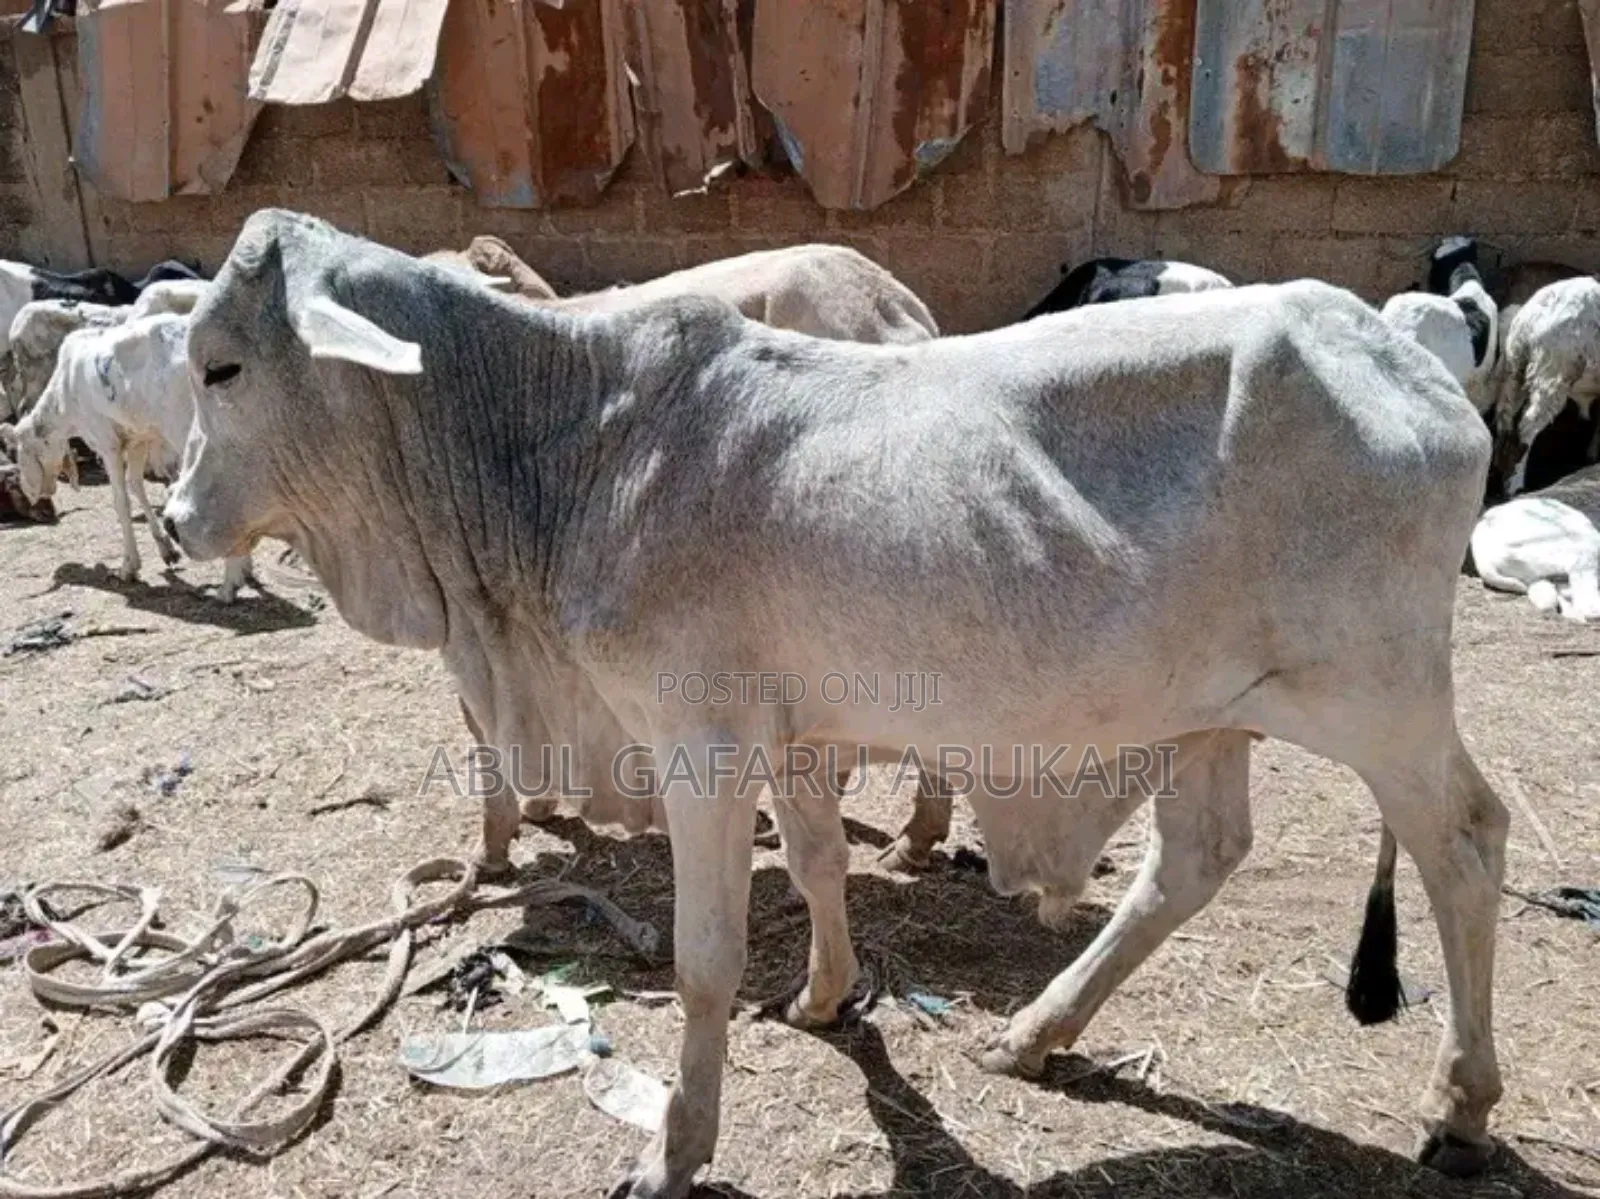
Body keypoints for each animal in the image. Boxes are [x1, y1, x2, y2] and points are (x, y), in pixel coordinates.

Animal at [164, 210, 1505, 1199]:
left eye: (222, 365)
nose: (176, 521)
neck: (569, 436)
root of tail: (1413, 369)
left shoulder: (698, 745)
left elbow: (705, 958)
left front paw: (676, 1148)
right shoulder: (793, 733)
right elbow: (816, 862)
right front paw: (822, 995)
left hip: (1377, 695)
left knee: (1464, 840)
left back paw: (1459, 1102)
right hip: (1205, 713)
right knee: (1196, 856)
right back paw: (1039, 1029)